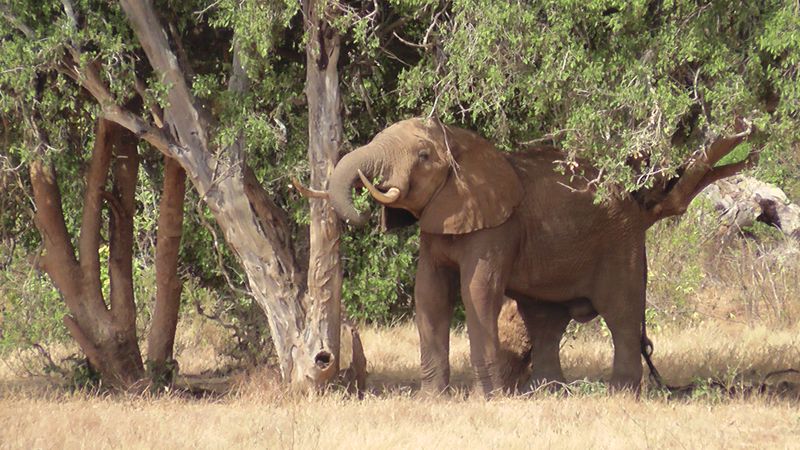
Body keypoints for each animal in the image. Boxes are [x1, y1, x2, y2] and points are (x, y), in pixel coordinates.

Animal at [316, 118, 660, 396]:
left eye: (423, 156)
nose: (365, 201)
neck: (459, 141)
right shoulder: (436, 223)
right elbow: (429, 293)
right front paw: (431, 399)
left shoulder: (497, 227)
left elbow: (477, 293)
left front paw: (487, 399)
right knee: (545, 320)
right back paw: (544, 392)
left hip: (620, 240)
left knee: (621, 314)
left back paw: (620, 394)